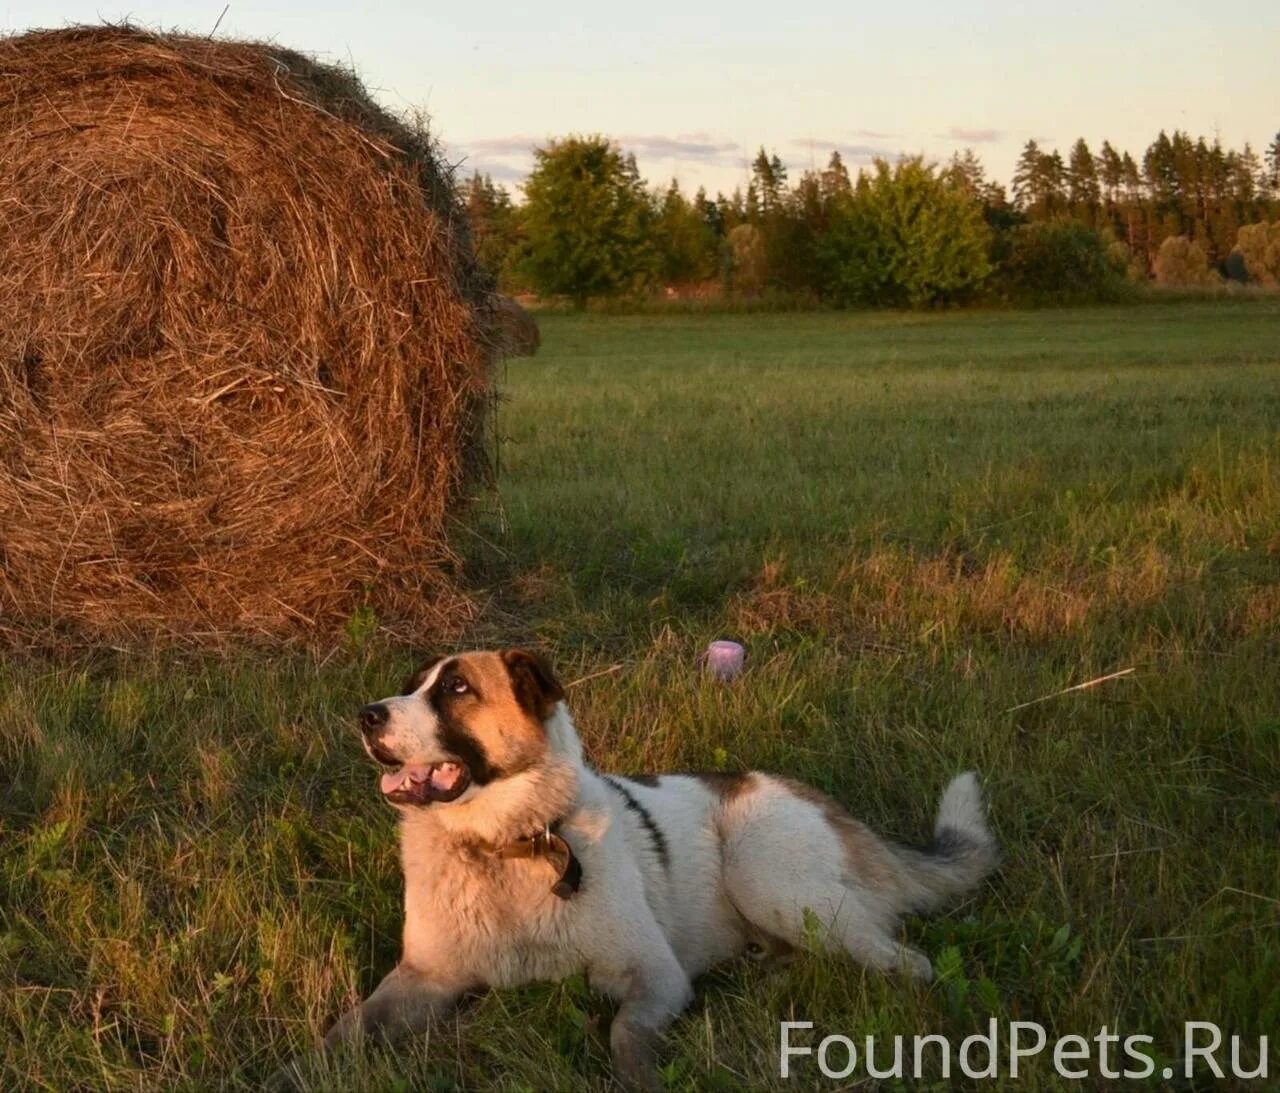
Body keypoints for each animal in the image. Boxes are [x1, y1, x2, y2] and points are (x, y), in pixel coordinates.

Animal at [309, 655, 998, 1090]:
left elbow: (623, 1034)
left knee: (911, 963)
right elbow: (347, 1028)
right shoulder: (424, 979)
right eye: (412, 684)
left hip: (764, 872)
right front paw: (305, 1068)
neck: (504, 848)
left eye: (456, 688)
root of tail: (840, 812)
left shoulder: (655, 977)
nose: (366, 715)